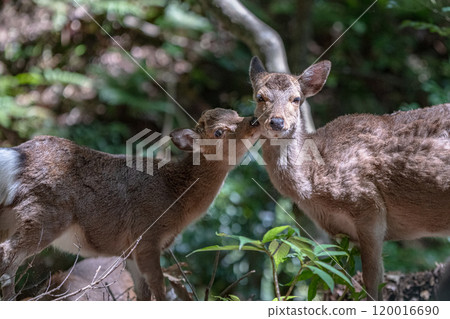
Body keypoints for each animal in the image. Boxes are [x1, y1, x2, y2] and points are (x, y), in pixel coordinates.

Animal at [0, 109, 260, 302]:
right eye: (218, 131)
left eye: (235, 113)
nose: (255, 120)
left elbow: (142, 293)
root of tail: (17, 156)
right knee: (8, 255)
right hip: (45, 215)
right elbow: (158, 288)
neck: (175, 198)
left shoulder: (131, 251)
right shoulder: (147, 237)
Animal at [250, 56, 450, 302]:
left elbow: (372, 284)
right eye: (260, 96)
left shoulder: (369, 207)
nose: (277, 122)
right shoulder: (340, 233)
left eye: (296, 99)